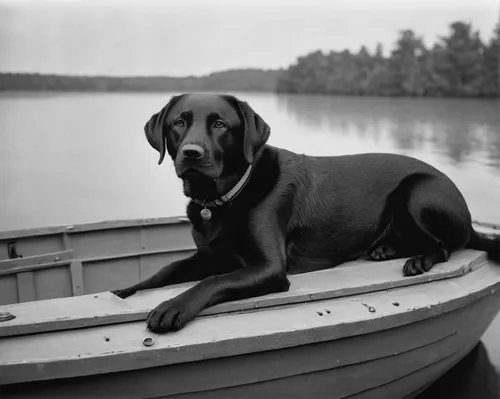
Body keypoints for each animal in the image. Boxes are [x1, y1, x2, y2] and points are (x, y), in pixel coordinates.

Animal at [113, 94, 500, 334]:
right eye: (179, 123)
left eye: (220, 125)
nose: (191, 154)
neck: (224, 196)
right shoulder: (209, 255)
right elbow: (165, 271)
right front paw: (123, 292)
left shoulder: (269, 268)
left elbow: (213, 281)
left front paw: (173, 306)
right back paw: (383, 249)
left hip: (419, 190)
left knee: (447, 245)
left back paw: (418, 260)